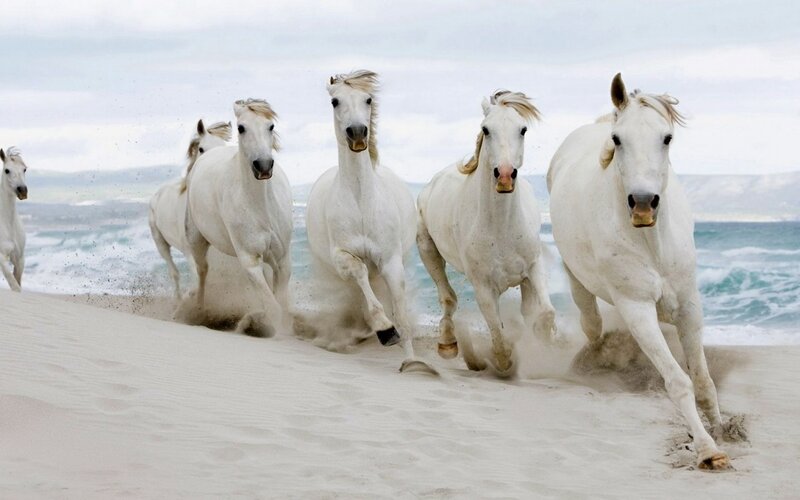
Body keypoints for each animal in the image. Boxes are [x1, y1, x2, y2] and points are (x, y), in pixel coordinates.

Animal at [148, 119, 230, 299]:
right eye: (201, 149)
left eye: (222, 146)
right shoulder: (190, 250)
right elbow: (197, 276)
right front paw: (193, 296)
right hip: (161, 243)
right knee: (174, 273)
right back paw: (179, 300)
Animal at [185, 99, 292, 337]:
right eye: (241, 128)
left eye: (270, 126)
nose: (263, 166)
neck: (261, 208)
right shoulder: (250, 261)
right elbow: (275, 307)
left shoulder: (282, 262)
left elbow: (280, 303)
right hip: (197, 242)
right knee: (202, 273)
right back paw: (197, 312)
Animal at [305, 70, 424, 372]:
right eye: (335, 101)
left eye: (368, 99)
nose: (357, 133)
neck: (361, 202)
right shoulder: (342, 257)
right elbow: (359, 273)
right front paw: (385, 330)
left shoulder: (391, 261)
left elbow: (401, 313)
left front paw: (412, 363)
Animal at [417, 90, 556, 373]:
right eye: (486, 129)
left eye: (523, 129)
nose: (504, 176)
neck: (501, 229)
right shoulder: (483, 286)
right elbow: (498, 334)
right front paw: (502, 360)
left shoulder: (533, 268)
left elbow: (545, 313)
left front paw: (543, 338)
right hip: (427, 249)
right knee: (448, 298)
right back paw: (448, 344)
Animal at [547, 73, 729, 470]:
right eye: (618, 139)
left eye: (667, 137)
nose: (643, 204)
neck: (652, 244)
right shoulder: (637, 309)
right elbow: (678, 382)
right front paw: (707, 450)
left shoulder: (689, 306)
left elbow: (703, 380)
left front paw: (723, 432)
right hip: (579, 283)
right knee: (591, 324)